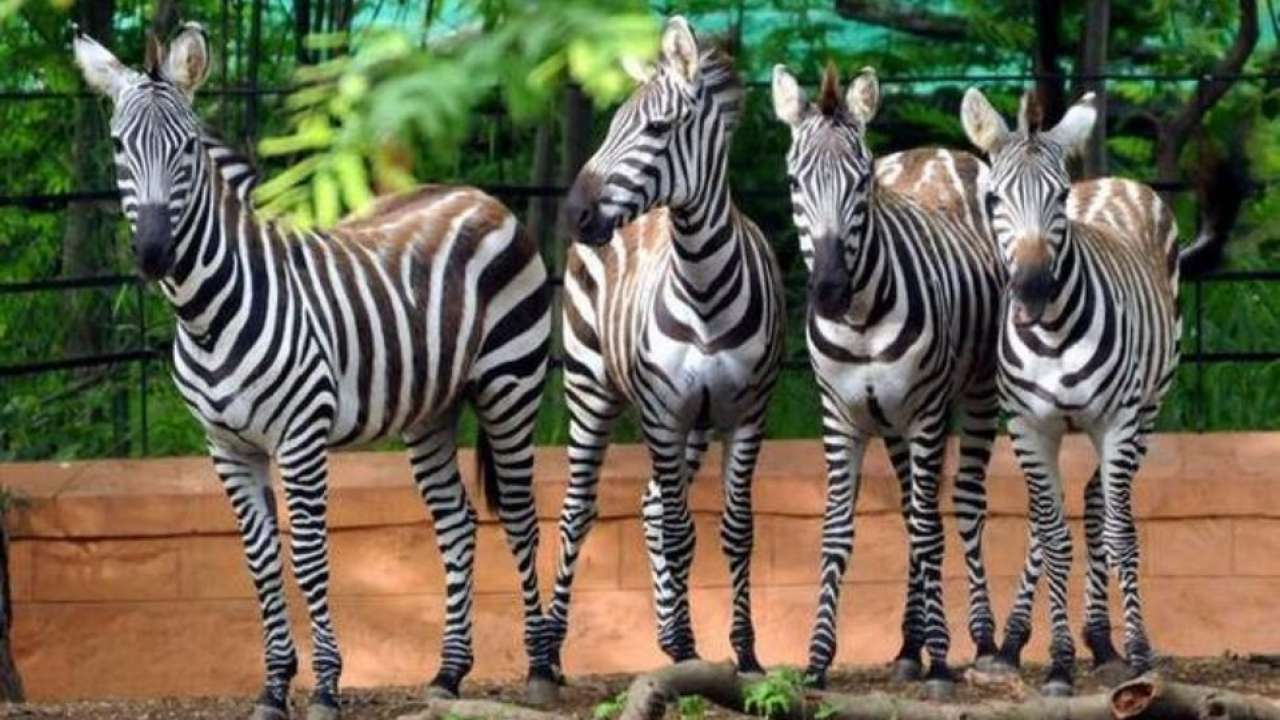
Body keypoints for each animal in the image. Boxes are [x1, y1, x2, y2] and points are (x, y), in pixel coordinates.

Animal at [74, 22, 555, 717]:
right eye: (118, 146)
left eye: (186, 147)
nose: (154, 253)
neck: (207, 314)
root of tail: (480, 196)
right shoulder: (227, 447)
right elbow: (260, 562)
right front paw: (274, 686)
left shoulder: (300, 436)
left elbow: (306, 555)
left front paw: (326, 686)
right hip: (431, 409)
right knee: (456, 523)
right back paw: (447, 673)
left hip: (510, 384)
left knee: (519, 514)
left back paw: (542, 667)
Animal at [545, 16, 783, 676]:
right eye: (610, 128)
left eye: (655, 128)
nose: (574, 214)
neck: (703, 289)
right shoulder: (662, 411)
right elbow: (681, 534)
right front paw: (687, 652)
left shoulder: (747, 413)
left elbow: (735, 530)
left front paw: (743, 653)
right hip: (590, 389)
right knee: (578, 511)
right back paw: (546, 655)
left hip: (697, 421)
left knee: (652, 506)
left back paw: (671, 634)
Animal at [773, 63, 1003, 696]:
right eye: (794, 183)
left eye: (860, 184)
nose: (829, 291)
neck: (860, 320)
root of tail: (940, 149)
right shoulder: (840, 417)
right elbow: (837, 534)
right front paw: (817, 660)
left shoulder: (926, 414)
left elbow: (929, 530)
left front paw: (942, 661)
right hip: (892, 420)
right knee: (908, 508)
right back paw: (907, 646)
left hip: (976, 394)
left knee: (964, 502)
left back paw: (984, 642)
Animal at [962, 87, 1228, 691]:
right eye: (993, 199)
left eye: (1058, 197)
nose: (1032, 291)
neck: (1055, 335)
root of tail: (1114, 181)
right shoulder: (1027, 425)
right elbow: (1052, 536)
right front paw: (1058, 662)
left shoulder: (1119, 422)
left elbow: (1122, 534)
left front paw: (1138, 652)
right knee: (1055, 517)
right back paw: (1016, 641)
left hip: (1148, 409)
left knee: (1100, 504)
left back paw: (1106, 642)